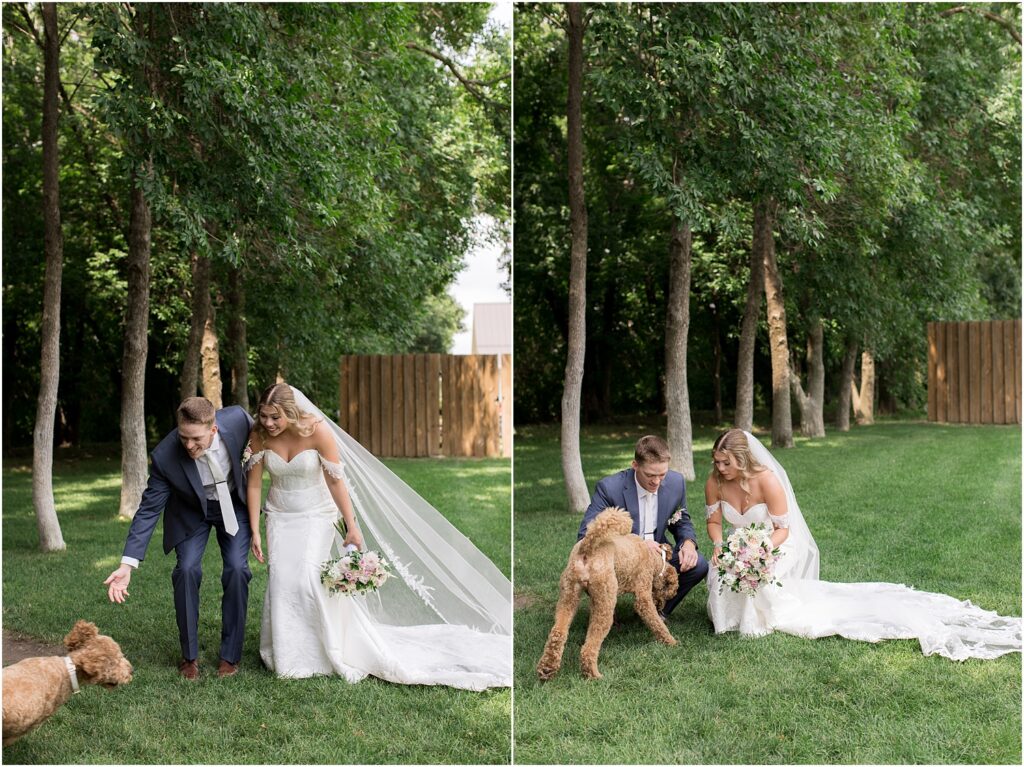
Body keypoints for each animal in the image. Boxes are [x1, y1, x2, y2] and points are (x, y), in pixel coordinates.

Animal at [540, 505, 675, 679]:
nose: (661, 605)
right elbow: (656, 622)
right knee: (589, 646)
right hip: (604, 603)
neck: (652, 557)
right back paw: (594, 675)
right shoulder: (643, 596)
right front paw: (671, 641)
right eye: (669, 590)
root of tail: (588, 547)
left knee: (557, 633)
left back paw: (546, 670)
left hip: (568, 596)